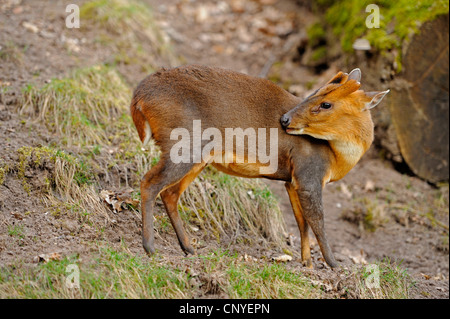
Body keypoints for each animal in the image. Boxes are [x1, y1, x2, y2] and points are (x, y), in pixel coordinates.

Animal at [129, 65, 386, 270]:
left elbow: (301, 223)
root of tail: (138, 98)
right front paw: (334, 265)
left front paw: (307, 263)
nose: (285, 119)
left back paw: (188, 248)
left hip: (199, 157)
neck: (335, 156)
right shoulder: (308, 173)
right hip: (183, 144)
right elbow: (318, 221)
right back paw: (150, 247)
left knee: (170, 194)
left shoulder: (291, 181)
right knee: (149, 183)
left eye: (325, 103)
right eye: (317, 93)